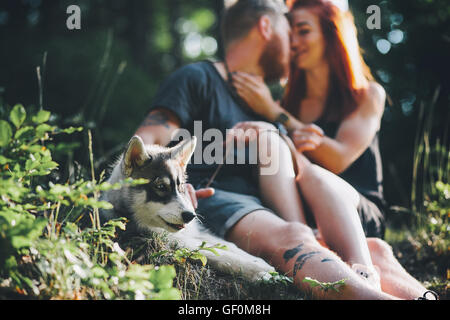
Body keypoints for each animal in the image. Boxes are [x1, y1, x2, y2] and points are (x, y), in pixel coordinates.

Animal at [101, 135, 274, 280]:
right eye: (161, 187)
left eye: (181, 186)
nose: (191, 216)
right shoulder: (171, 240)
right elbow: (214, 252)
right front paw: (258, 270)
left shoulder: (196, 232)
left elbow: (228, 245)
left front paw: (258, 261)